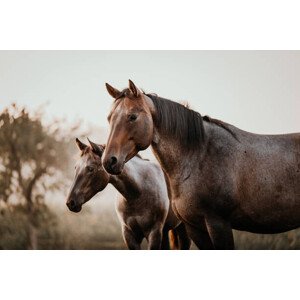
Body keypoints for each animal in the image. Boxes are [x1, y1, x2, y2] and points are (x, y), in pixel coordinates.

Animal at [101, 80, 300, 251]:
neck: (199, 156)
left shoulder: (218, 224)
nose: (109, 161)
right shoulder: (194, 227)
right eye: (109, 118)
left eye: (132, 116)